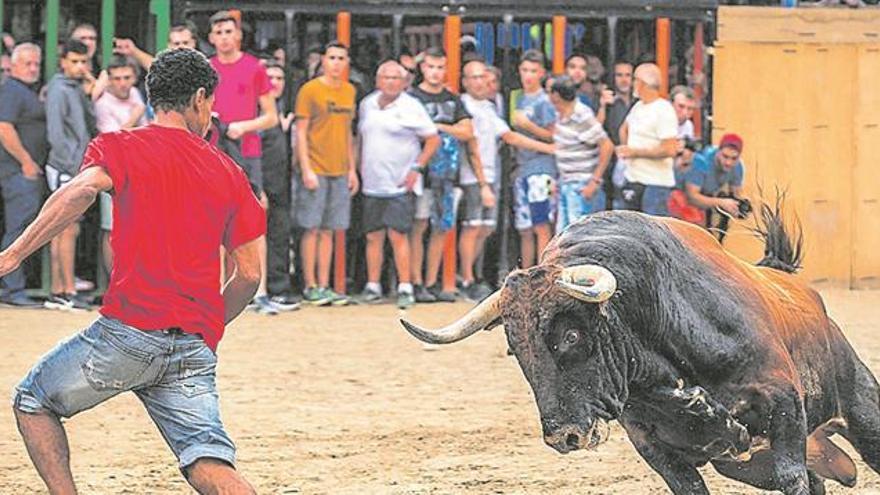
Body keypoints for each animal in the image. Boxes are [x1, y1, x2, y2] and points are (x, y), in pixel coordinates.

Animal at [400, 208, 880, 495]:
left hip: (863, 413)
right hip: (746, 465)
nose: (563, 437)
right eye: (514, 349)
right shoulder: (660, 453)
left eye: (571, 336)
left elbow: (793, 477)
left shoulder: (783, 408)